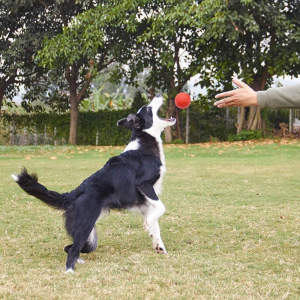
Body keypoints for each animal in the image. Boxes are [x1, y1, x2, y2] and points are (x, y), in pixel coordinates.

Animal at [11, 95, 176, 274]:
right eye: (147, 108)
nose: (158, 95)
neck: (144, 143)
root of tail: (73, 194)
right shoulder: (144, 184)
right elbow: (161, 207)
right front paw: (148, 225)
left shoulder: (145, 202)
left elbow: (156, 225)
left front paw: (159, 246)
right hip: (84, 227)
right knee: (72, 250)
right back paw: (70, 271)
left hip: (89, 236)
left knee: (69, 247)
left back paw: (79, 260)